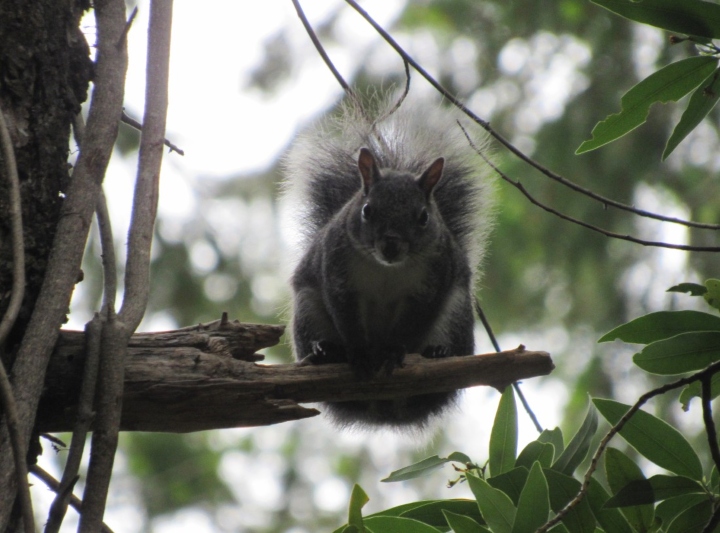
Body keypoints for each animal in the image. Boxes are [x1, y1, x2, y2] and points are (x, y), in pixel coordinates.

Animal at [283, 95, 495, 429]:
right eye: (367, 210)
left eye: (423, 217)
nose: (391, 245)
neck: (387, 269)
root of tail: (382, 411)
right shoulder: (337, 271)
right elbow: (345, 314)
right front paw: (358, 354)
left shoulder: (432, 282)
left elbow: (413, 323)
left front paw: (394, 352)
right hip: (307, 309)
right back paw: (326, 352)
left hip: (456, 315)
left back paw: (437, 353)